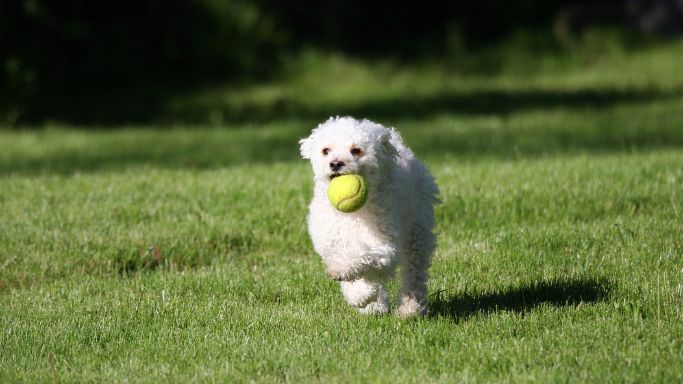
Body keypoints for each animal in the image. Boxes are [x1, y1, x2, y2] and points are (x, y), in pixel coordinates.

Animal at [300, 116, 440, 316]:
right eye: (326, 150)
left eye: (356, 150)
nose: (335, 163)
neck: (352, 215)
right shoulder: (331, 243)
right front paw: (364, 298)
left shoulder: (384, 246)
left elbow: (360, 256)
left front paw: (357, 289)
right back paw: (376, 305)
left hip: (417, 230)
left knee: (414, 271)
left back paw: (410, 308)